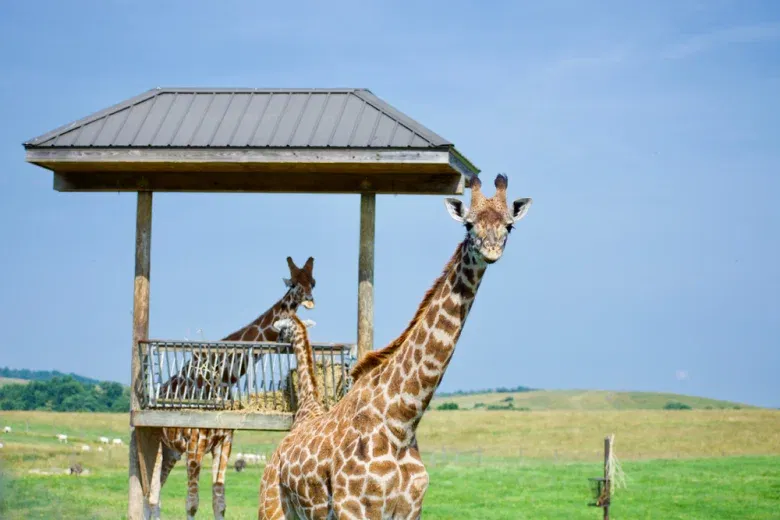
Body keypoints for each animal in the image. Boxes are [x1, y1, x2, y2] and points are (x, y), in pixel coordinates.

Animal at [146, 256, 317, 520]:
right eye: (294, 283)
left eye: (313, 282)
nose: (308, 300)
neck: (225, 377)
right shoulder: (195, 442)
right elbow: (192, 503)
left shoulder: (224, 441)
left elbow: (219, 501)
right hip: (153, 442)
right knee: (151, 496)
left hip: (171, 452)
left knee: (155, 496)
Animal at [257, 174, 532, 520]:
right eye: (469, 224)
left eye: (509, 225)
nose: (492, 250)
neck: (402, 420)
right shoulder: (353, 508)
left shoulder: (410, 509)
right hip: (271, 505)